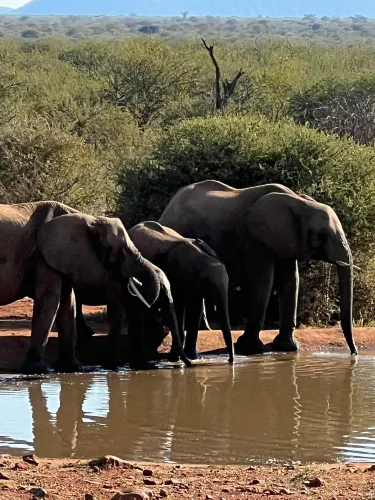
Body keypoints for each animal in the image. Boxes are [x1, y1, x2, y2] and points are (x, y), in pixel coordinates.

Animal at [0, 201, 162, 374]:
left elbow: (67, 303)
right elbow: (50, 300)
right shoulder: (43, 257)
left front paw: (73, 368)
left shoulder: (61, 258)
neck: (89, 218)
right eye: (118, 251)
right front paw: (38, 370)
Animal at [129, 221, 235, 362]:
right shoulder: (177, 274)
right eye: (208, 283)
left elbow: (195, 307)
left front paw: (193, 357)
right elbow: (178, 305)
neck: (201, 256)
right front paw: (175, 359)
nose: (229, 361)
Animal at [159, 180, 358, 356]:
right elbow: (264, 281)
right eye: (322, 235)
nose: (354, 353)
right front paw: (248, 348)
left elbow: (290, 281)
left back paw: (205, 328)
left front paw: (287, 347)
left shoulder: (285, 240)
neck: (299, 202)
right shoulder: (255, 239)